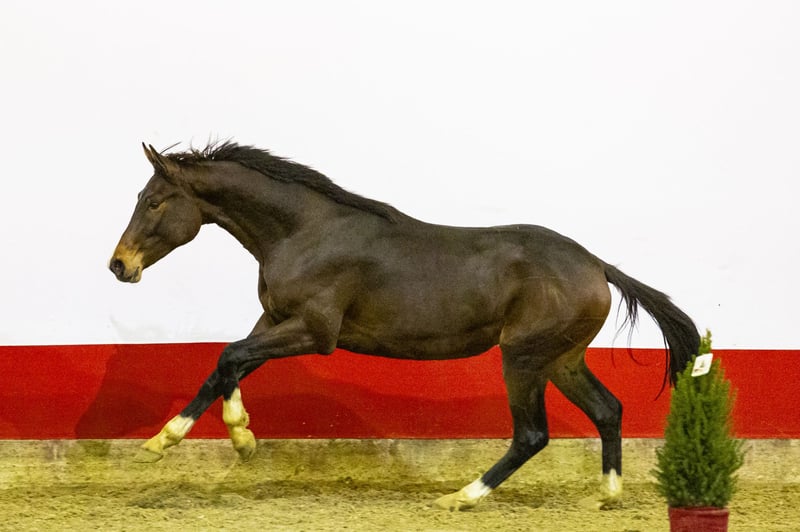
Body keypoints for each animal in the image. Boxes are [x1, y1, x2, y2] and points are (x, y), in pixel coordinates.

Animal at [109, 141, 699, 511]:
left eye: (154, 201)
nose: (119, 265)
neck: (304, 233)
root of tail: (597, 265)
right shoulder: (274, 320)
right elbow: (227, 363)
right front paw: (184, 439)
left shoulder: (315, 332)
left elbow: (229, 354)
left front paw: (228, 437)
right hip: (562, 359)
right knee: (608, 409)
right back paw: (608, 495)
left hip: (523, 357)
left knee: (532, 434)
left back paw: (461, 498)